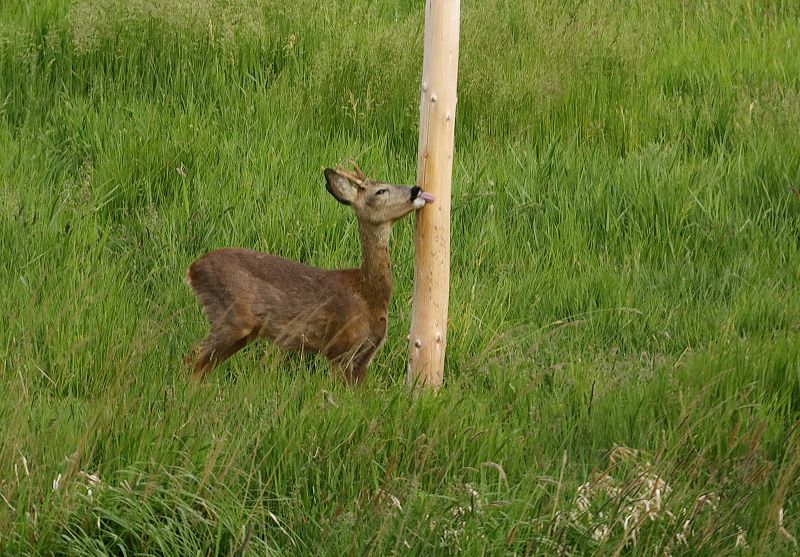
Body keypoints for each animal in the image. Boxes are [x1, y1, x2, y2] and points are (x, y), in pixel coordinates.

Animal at [186, 162, 438, 382]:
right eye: (380, 190)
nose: (416, 189)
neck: (368, 295)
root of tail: (192, 269)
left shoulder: (364, 358)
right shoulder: (340, 348)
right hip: (231, 317)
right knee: (192, 361)